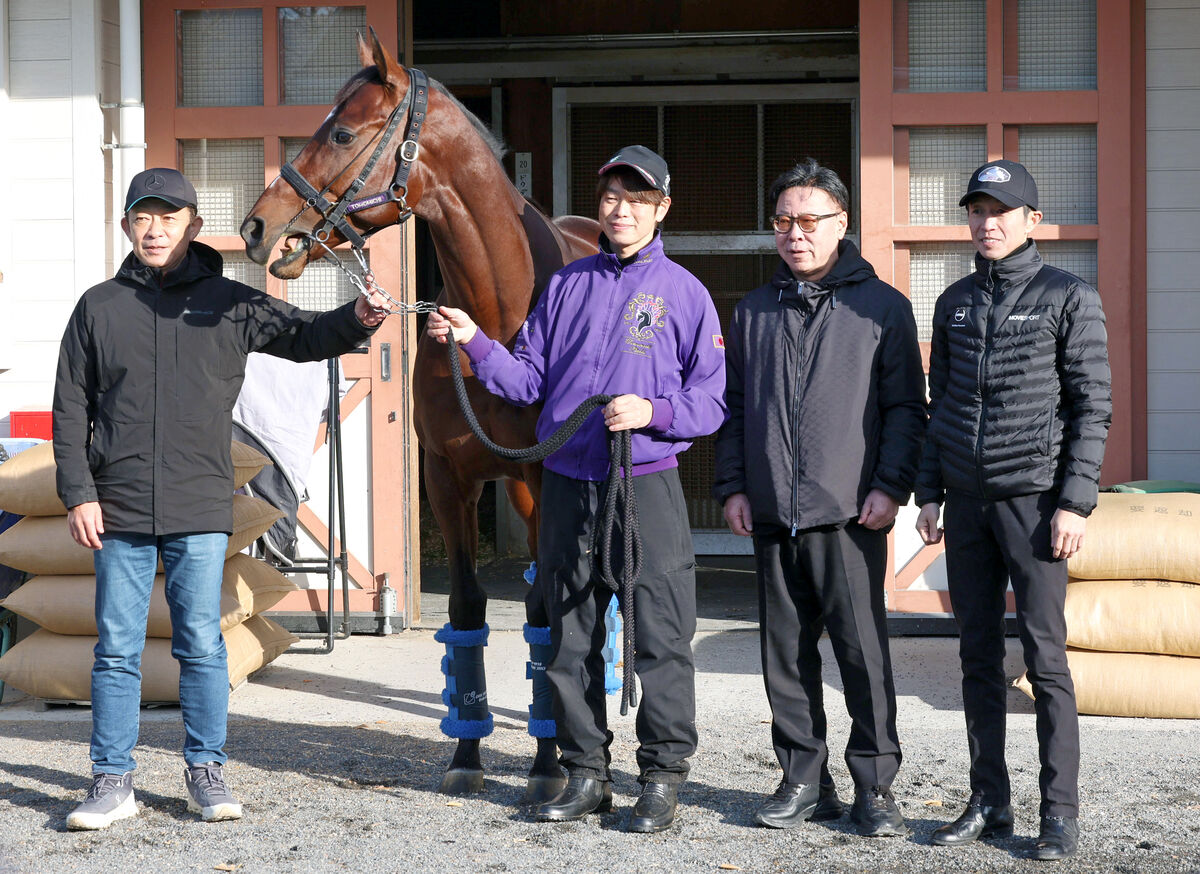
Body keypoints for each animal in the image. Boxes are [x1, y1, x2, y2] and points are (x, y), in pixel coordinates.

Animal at [240, 32, 600, 797]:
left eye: (343, 133)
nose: (258, 227)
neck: (503, 315)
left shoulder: (547, 478)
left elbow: (548, 615)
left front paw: (549, 770)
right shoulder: (449, 480)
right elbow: (467, 611)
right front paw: (466, 755)